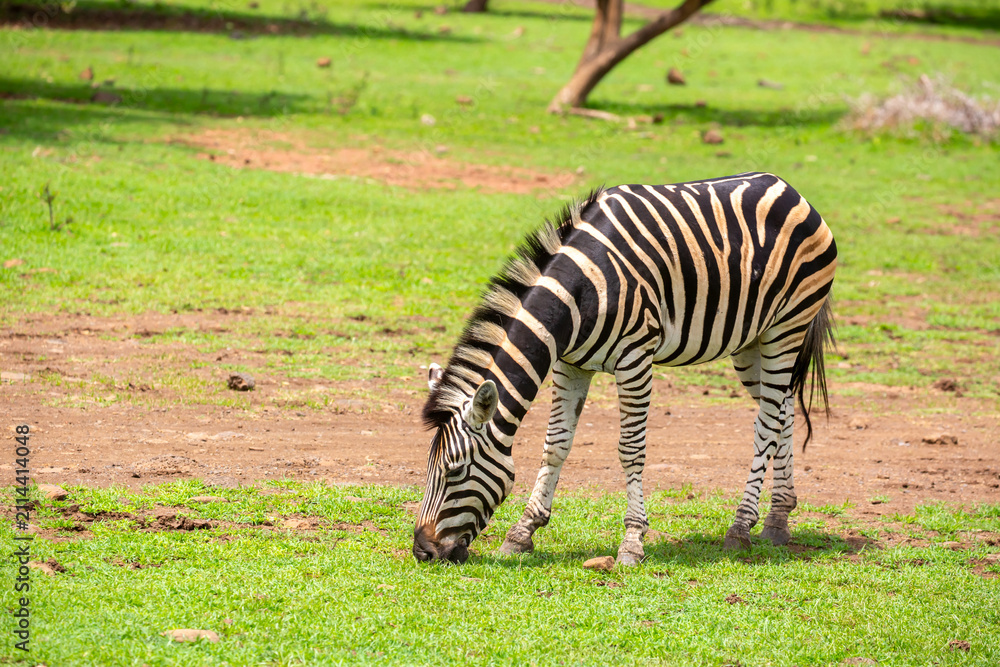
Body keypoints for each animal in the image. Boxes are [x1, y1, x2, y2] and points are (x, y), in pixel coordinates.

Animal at [413, 172, 837, 565]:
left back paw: (740, 527)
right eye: (427, 470)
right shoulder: (570, 364)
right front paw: (522, 532)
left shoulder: (635, 358)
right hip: (751, 342)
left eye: (454, 471)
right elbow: (556, 445)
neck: (579, 293)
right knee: (781, 411)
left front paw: (632, 541)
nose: (422, 552)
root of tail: (786, 187)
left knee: (766, 424)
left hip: (787, 327)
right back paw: (777, 520)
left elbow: (631, 449)